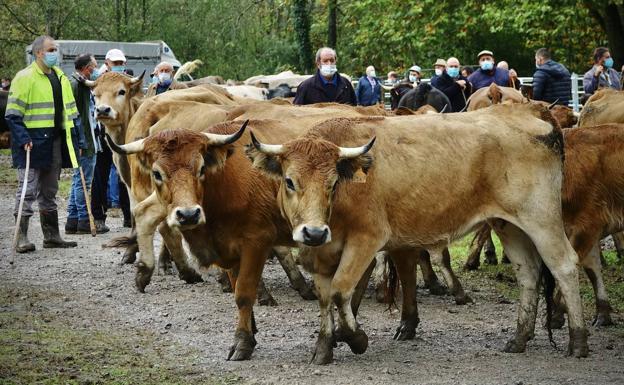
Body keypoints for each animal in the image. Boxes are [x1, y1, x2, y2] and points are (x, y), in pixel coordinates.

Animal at [246, 103, 588, 364]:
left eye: (332, 184)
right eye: (290, 181)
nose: (314, 232)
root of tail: (527, 110)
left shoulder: (367, 240)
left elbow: (342, 291)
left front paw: (355, 338)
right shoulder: (323, 253)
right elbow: (325, 297)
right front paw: (323, 347)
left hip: (541, 220)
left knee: (564, 265)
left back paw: (578, 341)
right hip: (509, 225)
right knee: (528, 273)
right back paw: (519, 338)